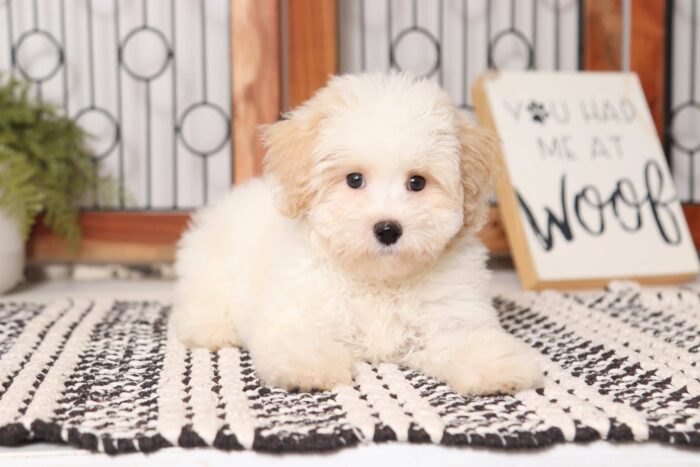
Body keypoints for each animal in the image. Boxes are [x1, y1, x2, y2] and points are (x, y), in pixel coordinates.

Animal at [174, 73, 540, 394]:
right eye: (354, 179)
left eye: (417, 182)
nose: (388, 229)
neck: (378, 282)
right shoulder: (297, 309)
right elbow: (300, 337)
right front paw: (310, 366)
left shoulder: (450, 316)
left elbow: (468, 341)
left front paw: (497, 365)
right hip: (212, 268)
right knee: (200, 302)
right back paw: (212, 329)